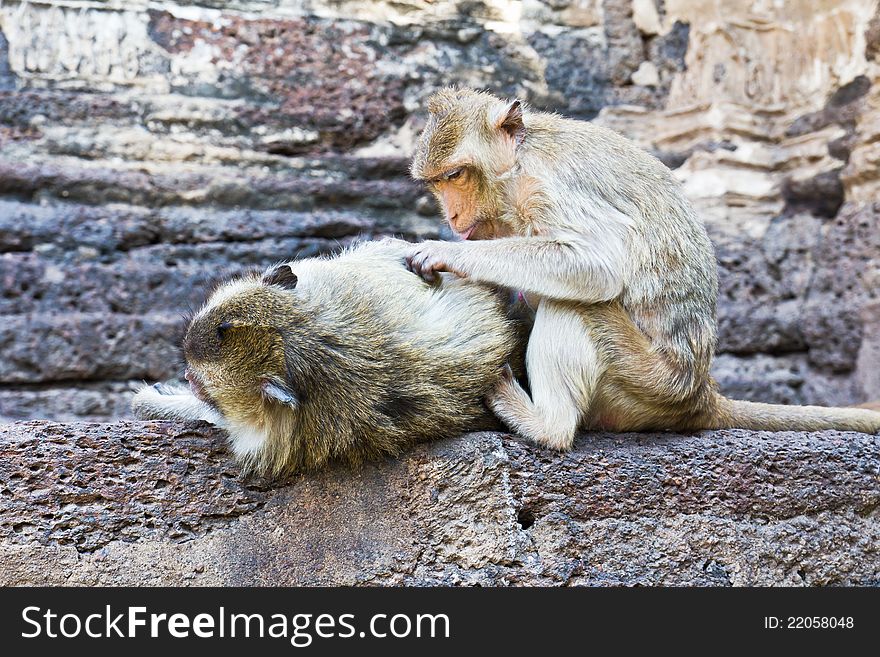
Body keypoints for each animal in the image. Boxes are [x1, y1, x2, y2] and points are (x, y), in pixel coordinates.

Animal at [410, 87, 880, 446]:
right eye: (436, 183)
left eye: (456, 175)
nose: (452, 216)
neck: (517, 166)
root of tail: (699, 392)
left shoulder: (545, 186)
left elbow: (595, 265)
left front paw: (446, 253)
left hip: (646, 382)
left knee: (578, 305)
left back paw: (545, 426)